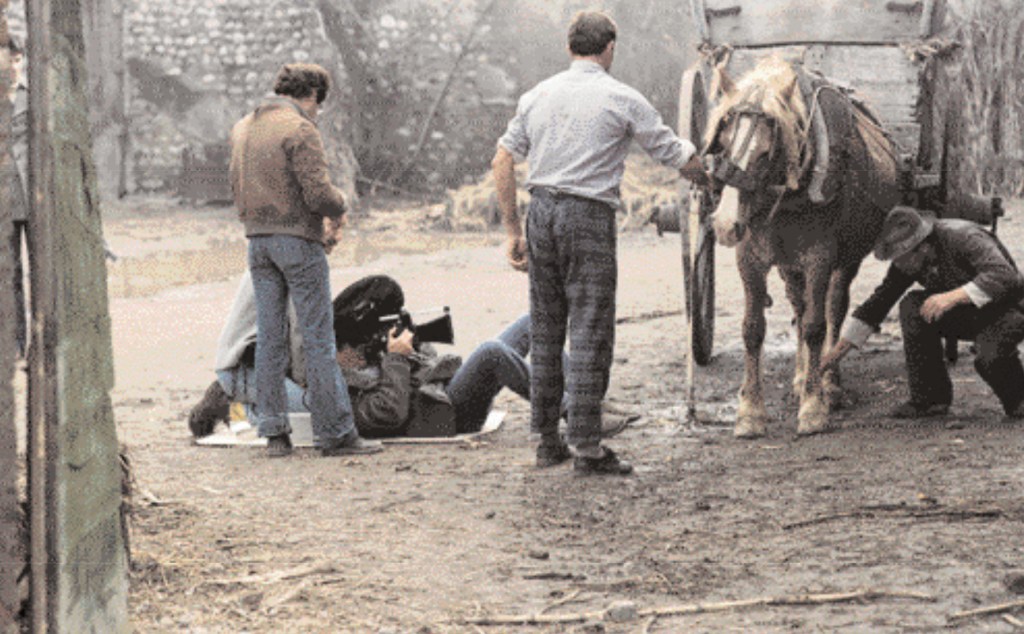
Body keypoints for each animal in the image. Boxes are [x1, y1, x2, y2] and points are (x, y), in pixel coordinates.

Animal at [703, 55, 901, 438]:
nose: (724, 224)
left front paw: (813, 406)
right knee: (798, 303)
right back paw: (800, 376)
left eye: (766, 152)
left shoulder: (818, 257)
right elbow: (753, 328)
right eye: (723, 141)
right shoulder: (750, 258)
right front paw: (750, 412)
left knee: (834, 308)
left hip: (844, 258)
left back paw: (829, 382)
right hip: (787, 263)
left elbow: (814, 326)